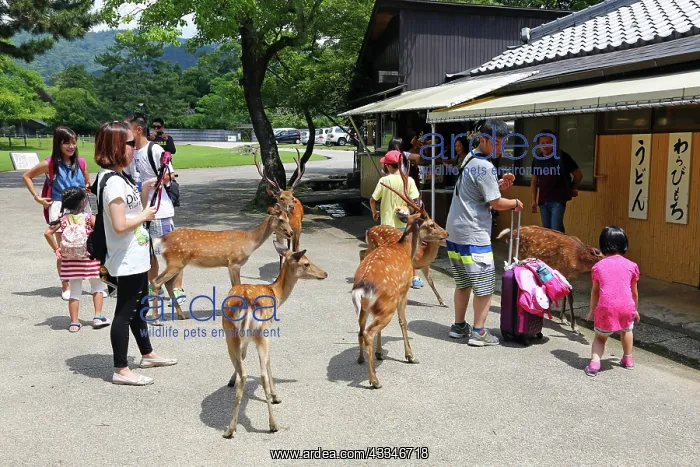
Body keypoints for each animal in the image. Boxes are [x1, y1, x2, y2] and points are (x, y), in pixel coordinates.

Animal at [149, 204, 294, 320]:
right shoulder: (235, 262)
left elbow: (234, 287)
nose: (291, 232)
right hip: (176, 261)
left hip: (177, 263)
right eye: (281, 220)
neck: (249, 241)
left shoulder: (229, 265)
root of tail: (161, 240)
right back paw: (156, 320)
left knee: (167, 283)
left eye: (288, 218)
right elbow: (238, 285)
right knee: (156, 281)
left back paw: (182, 315)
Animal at [221, 241, 328, 438]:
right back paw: (273, 424)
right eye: (306, 263)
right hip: (259, 333)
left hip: (231, 334)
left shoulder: (246, 340)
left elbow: (244, 356)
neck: (276, 294)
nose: (324, 273)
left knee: (243, 373)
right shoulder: (268, 331)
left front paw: (230, 379)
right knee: (261, 374)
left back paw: (231, 427)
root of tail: (246, 303)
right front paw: (276, 396)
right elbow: (269, 362)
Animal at [352, 162, 448, 389]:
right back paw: (374, 380)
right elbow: (403, 321)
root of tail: (362, 286)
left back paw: (361, 359)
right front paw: (411, 356)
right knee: (368, 332)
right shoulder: (403, 291)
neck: (405, 250)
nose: (446, 233)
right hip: (387, 303)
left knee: (361, 328)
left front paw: (380, 353)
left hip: (365, 307)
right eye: (431, 224)